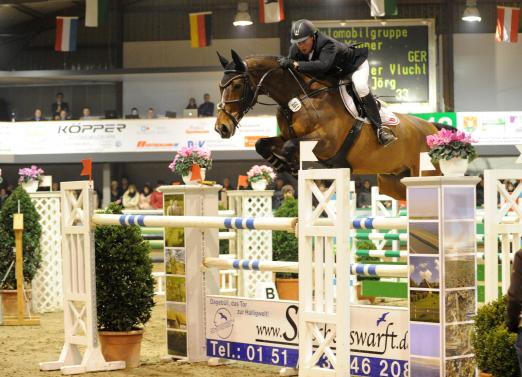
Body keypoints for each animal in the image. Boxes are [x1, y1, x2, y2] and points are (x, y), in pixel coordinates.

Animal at [213, 51, 440, 201]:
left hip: (425, 174)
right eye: (220, 87)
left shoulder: (326, 142)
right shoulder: (286, 137)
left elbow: (289, 147)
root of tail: (433, 128)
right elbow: (262, 144)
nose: (221, 128)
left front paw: (293, 166)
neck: (299, 97)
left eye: (237, 85)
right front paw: (283, 166)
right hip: (393, 181)